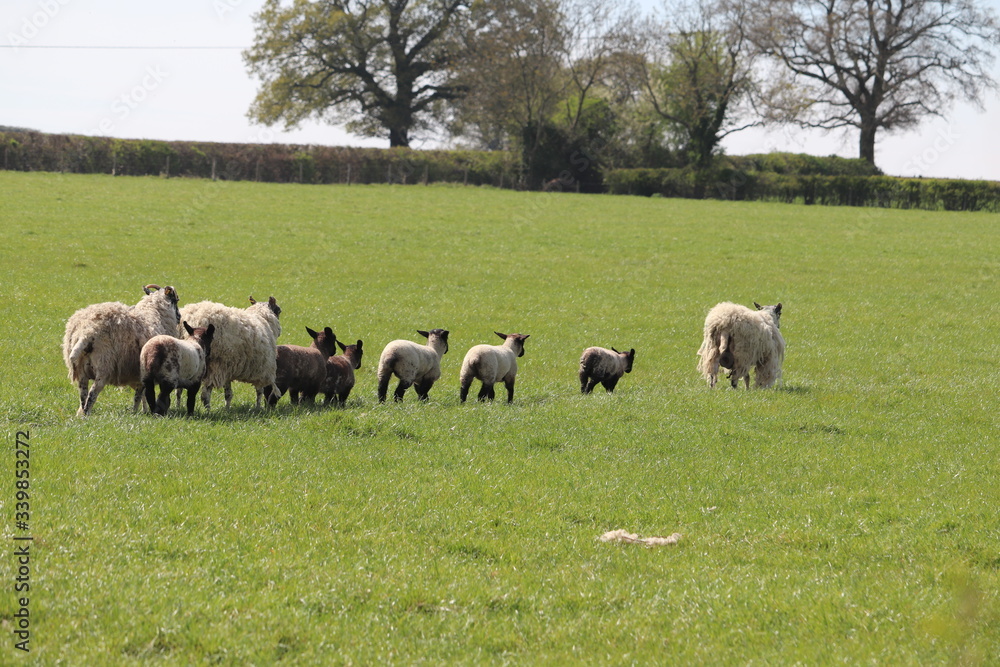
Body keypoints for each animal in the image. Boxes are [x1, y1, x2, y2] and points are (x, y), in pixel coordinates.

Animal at [62, 284, 181, 416]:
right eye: (176, 300)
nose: (179, 317)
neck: (156, 313)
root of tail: (85, 332)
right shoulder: (141, 371)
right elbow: (139, 395)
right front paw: (136, 412)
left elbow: (142, 394)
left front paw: (143, 411)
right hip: (104, 365)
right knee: (92, 393)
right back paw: (87, 415)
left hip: (81, 370)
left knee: (83, 395)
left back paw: (82, 414)